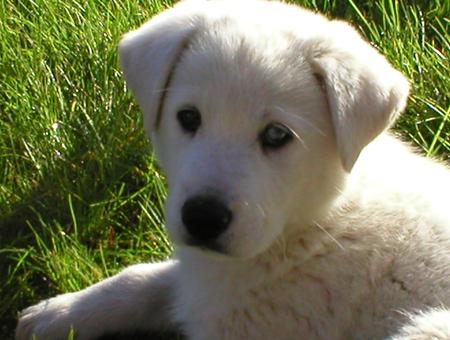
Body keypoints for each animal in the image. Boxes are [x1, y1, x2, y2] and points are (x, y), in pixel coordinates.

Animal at [14, 0, 450, 340]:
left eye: (277, 135)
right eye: (188, 117)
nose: (202, 218)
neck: (319, 224)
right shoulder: (206, 281)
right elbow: (145, 279)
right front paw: (57, 313)